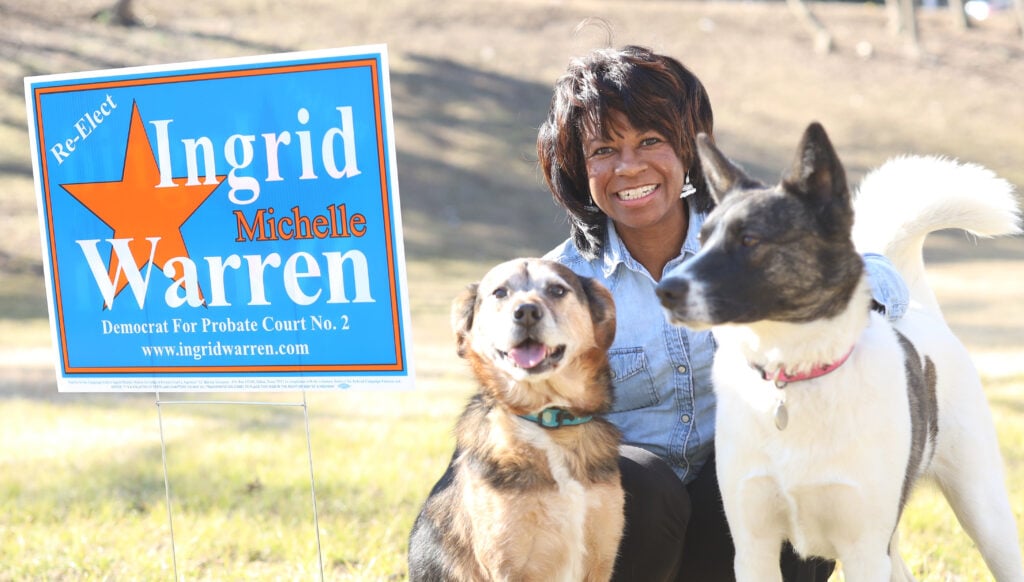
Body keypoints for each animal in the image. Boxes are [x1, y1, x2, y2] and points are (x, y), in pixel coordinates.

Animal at [407, 259, 622, 581]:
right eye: (500, 292)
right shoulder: (508, 565)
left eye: (557, 290)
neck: (547, 418)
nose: (527, 312)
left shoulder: (600, 560)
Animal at [655, 120, 1024, 577]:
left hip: (983, 512)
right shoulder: (754, 548)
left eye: (750, 240)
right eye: (703, 239)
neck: (795, 373)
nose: (664, 291)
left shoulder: (863, 550)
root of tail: (922, 309)